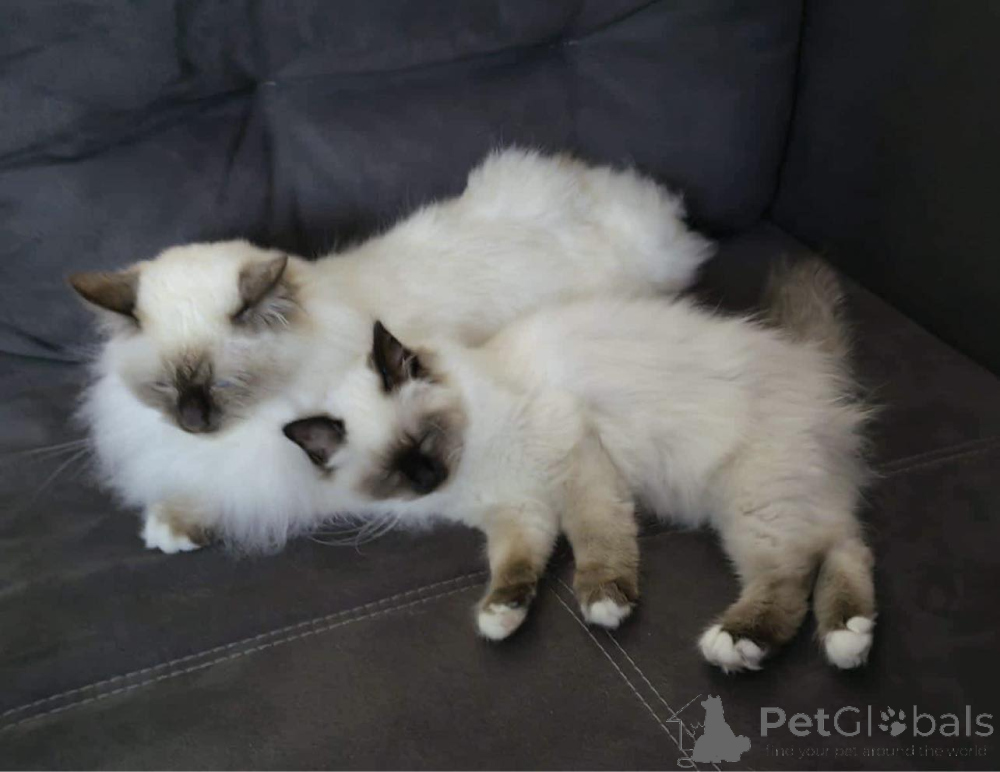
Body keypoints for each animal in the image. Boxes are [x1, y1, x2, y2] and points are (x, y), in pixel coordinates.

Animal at [69, 148, 712, 553]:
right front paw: (167, 518)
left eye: (227, 386)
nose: (194, 421)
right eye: (163, 389)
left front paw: (173, 530)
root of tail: (636, 204)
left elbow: (235, 504)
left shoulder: (294, 484)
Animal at [283, 259, 876, 672]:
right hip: (783, 501)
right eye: (393, 471)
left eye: (425, 441)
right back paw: (849, 636)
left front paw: (604, 601)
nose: (429, 479)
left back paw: (738, 641)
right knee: (844, 550)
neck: (477, 464)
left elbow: (597, 537)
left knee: (791, 575)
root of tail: (812, 364)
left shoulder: (575, 458)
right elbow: (515, 565)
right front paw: (502, 614)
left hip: (751, 503)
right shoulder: (520, 512)